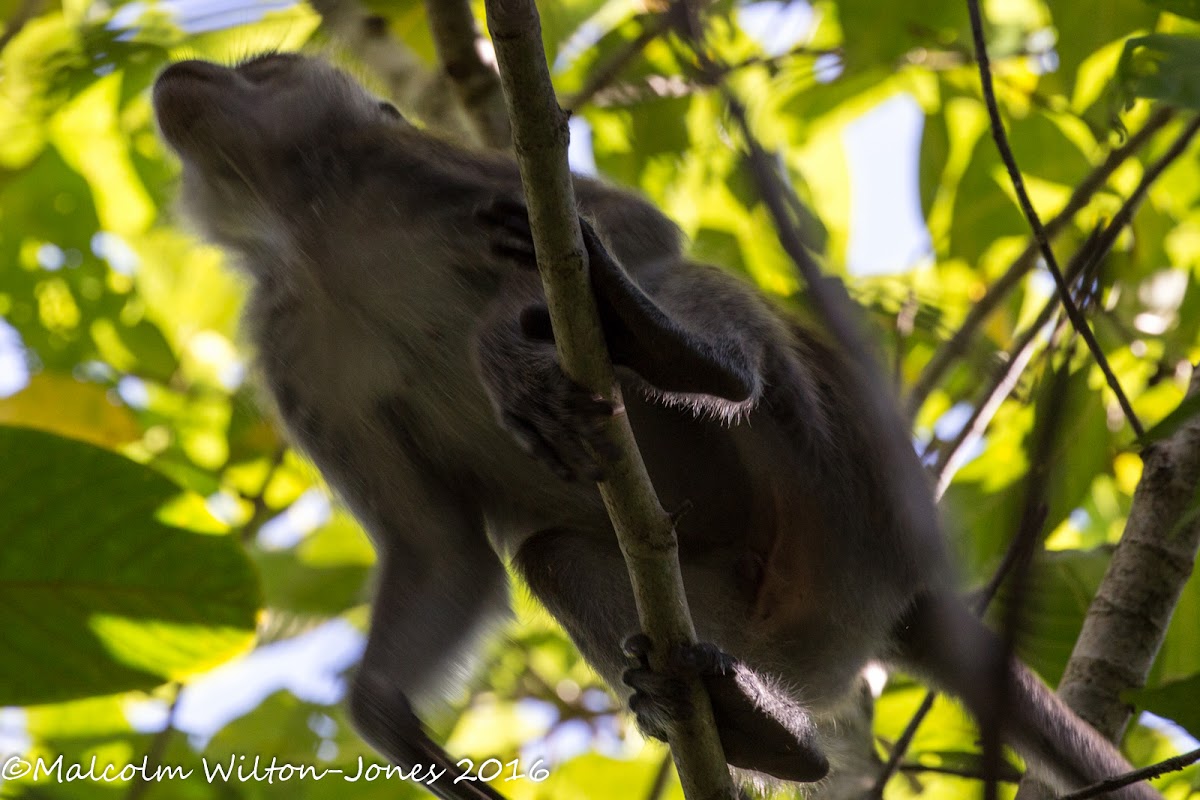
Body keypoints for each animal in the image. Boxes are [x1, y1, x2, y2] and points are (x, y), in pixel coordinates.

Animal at [150, 53, 1161, 796]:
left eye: (264, 68)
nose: (184, 70)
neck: (317, 226)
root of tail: (908, 594)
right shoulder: (291, 357)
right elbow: (441, 550)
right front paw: (392, 722)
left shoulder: (425, 170)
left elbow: (635, 228)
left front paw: (506, 335)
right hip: (796, 627)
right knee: (557, 558)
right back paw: (758, 727)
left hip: (848, 490)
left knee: (693, 290)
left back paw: (673, 347)